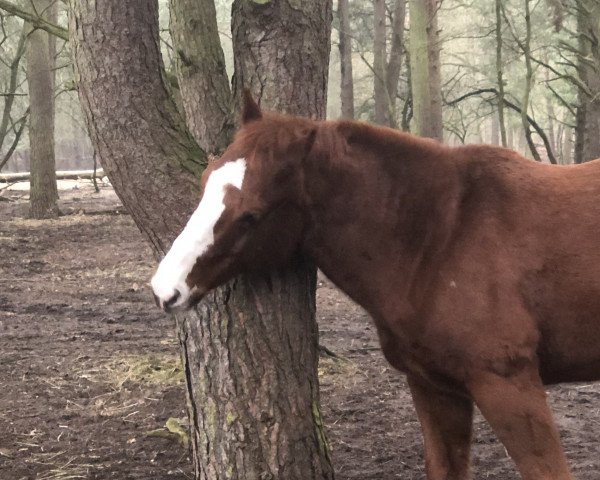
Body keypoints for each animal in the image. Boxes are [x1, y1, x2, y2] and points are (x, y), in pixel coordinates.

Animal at [151, 92, 600, 478]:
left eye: (251, 216)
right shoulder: (435, 387)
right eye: (205, 179)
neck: (442, 235)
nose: (165, 288)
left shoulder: (509, 386)